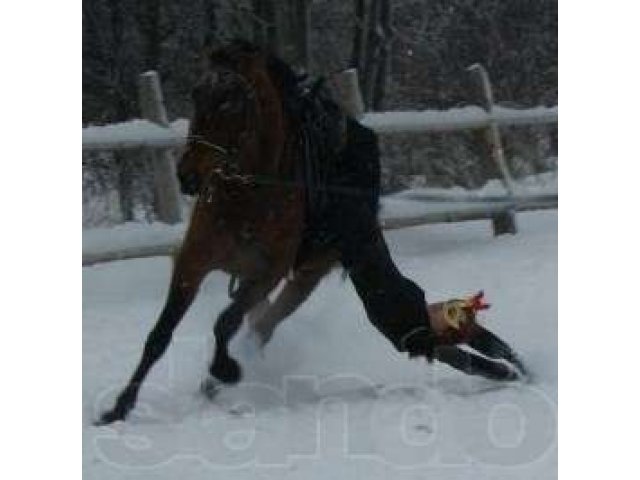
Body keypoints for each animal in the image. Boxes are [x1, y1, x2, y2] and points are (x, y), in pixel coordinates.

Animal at [96, 40, 524, 424]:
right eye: (196, 94)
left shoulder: (265, 273)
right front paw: (117, 409)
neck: (247, 194)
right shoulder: (193, 263)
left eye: (231, 101)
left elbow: (225, 323)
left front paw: (225, 369)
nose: (187, 176)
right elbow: (160, 334)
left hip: (317, 275)